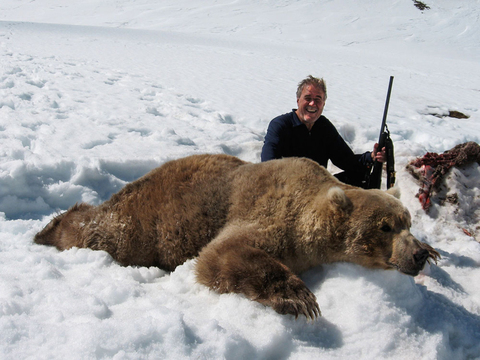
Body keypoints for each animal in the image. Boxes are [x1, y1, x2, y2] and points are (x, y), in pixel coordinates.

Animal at [32, 153, 438, 320]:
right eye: (384, 226)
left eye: (407, 222)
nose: (417, 254)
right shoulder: (272, 213)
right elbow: (223, 252)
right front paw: (298, 298)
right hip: (142, 223)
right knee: (102, 232)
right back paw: (48, 230)